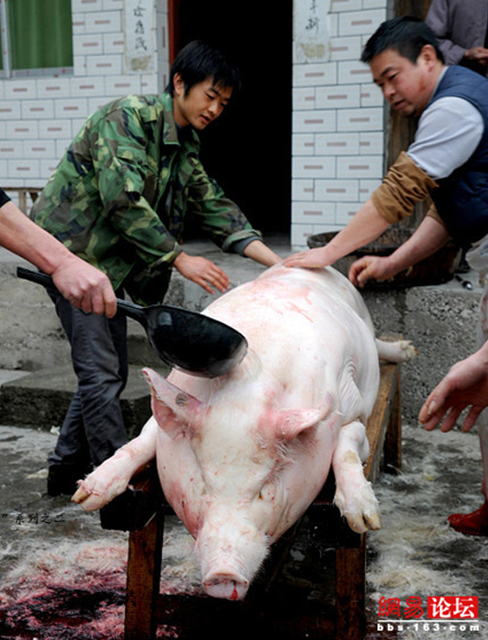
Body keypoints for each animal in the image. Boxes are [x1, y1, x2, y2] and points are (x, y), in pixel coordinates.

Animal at [73, 264, 415, 601]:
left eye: (264, 487)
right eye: (201, 482)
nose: (223, 574)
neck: (245, 388)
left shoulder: (355, 410)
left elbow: (347, 449)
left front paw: (365, 520)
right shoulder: (162, 420)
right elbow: (140, 442)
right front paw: (86, 495)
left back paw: (408, 350)